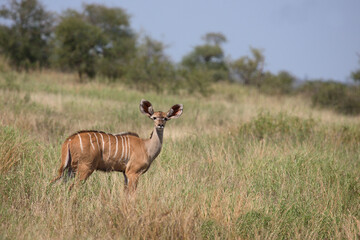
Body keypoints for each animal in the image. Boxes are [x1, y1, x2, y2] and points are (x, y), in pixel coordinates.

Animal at [50, 99, 183, 191]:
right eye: (154, 117)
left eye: (165, 118)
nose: (160, 125)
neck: (146, 146)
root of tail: (69, 140)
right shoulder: (133, 173)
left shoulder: (125, 173)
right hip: (85, 167)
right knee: (73, 187)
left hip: (70, 168)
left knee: (56, 182)